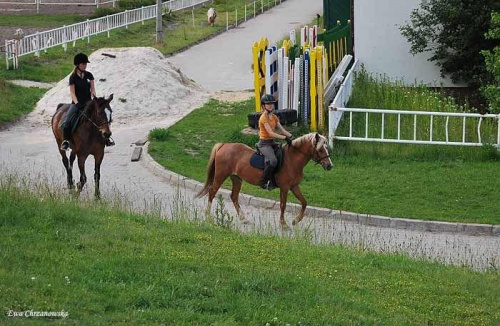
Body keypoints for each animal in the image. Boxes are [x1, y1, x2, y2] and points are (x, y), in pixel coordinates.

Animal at [197, 132, 334, 229]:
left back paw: (243, 218)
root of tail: (224, 145)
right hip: (220, 176)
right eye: (320, 149)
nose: (329, 166)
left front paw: (296, 220)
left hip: (236, 179)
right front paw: (283, 224)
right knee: (212, 192)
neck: (292, 160)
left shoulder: (294, 186)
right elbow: (283, 205)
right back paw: (208, 217)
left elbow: (304, 202)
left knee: (234, 196)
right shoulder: (285, 187)